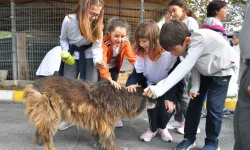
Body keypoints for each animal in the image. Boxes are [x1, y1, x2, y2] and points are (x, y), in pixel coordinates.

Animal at [23, 77, 156, 150]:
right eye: (150, 96)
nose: (157, 102)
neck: (121, 97)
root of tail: (34, 84)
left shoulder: (97, 120)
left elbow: (96, 135)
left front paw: (96, 145)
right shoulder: (106, 123)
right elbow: (111, 138)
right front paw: (117, 148)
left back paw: (39, 141)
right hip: (51, 114)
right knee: (46, 132)